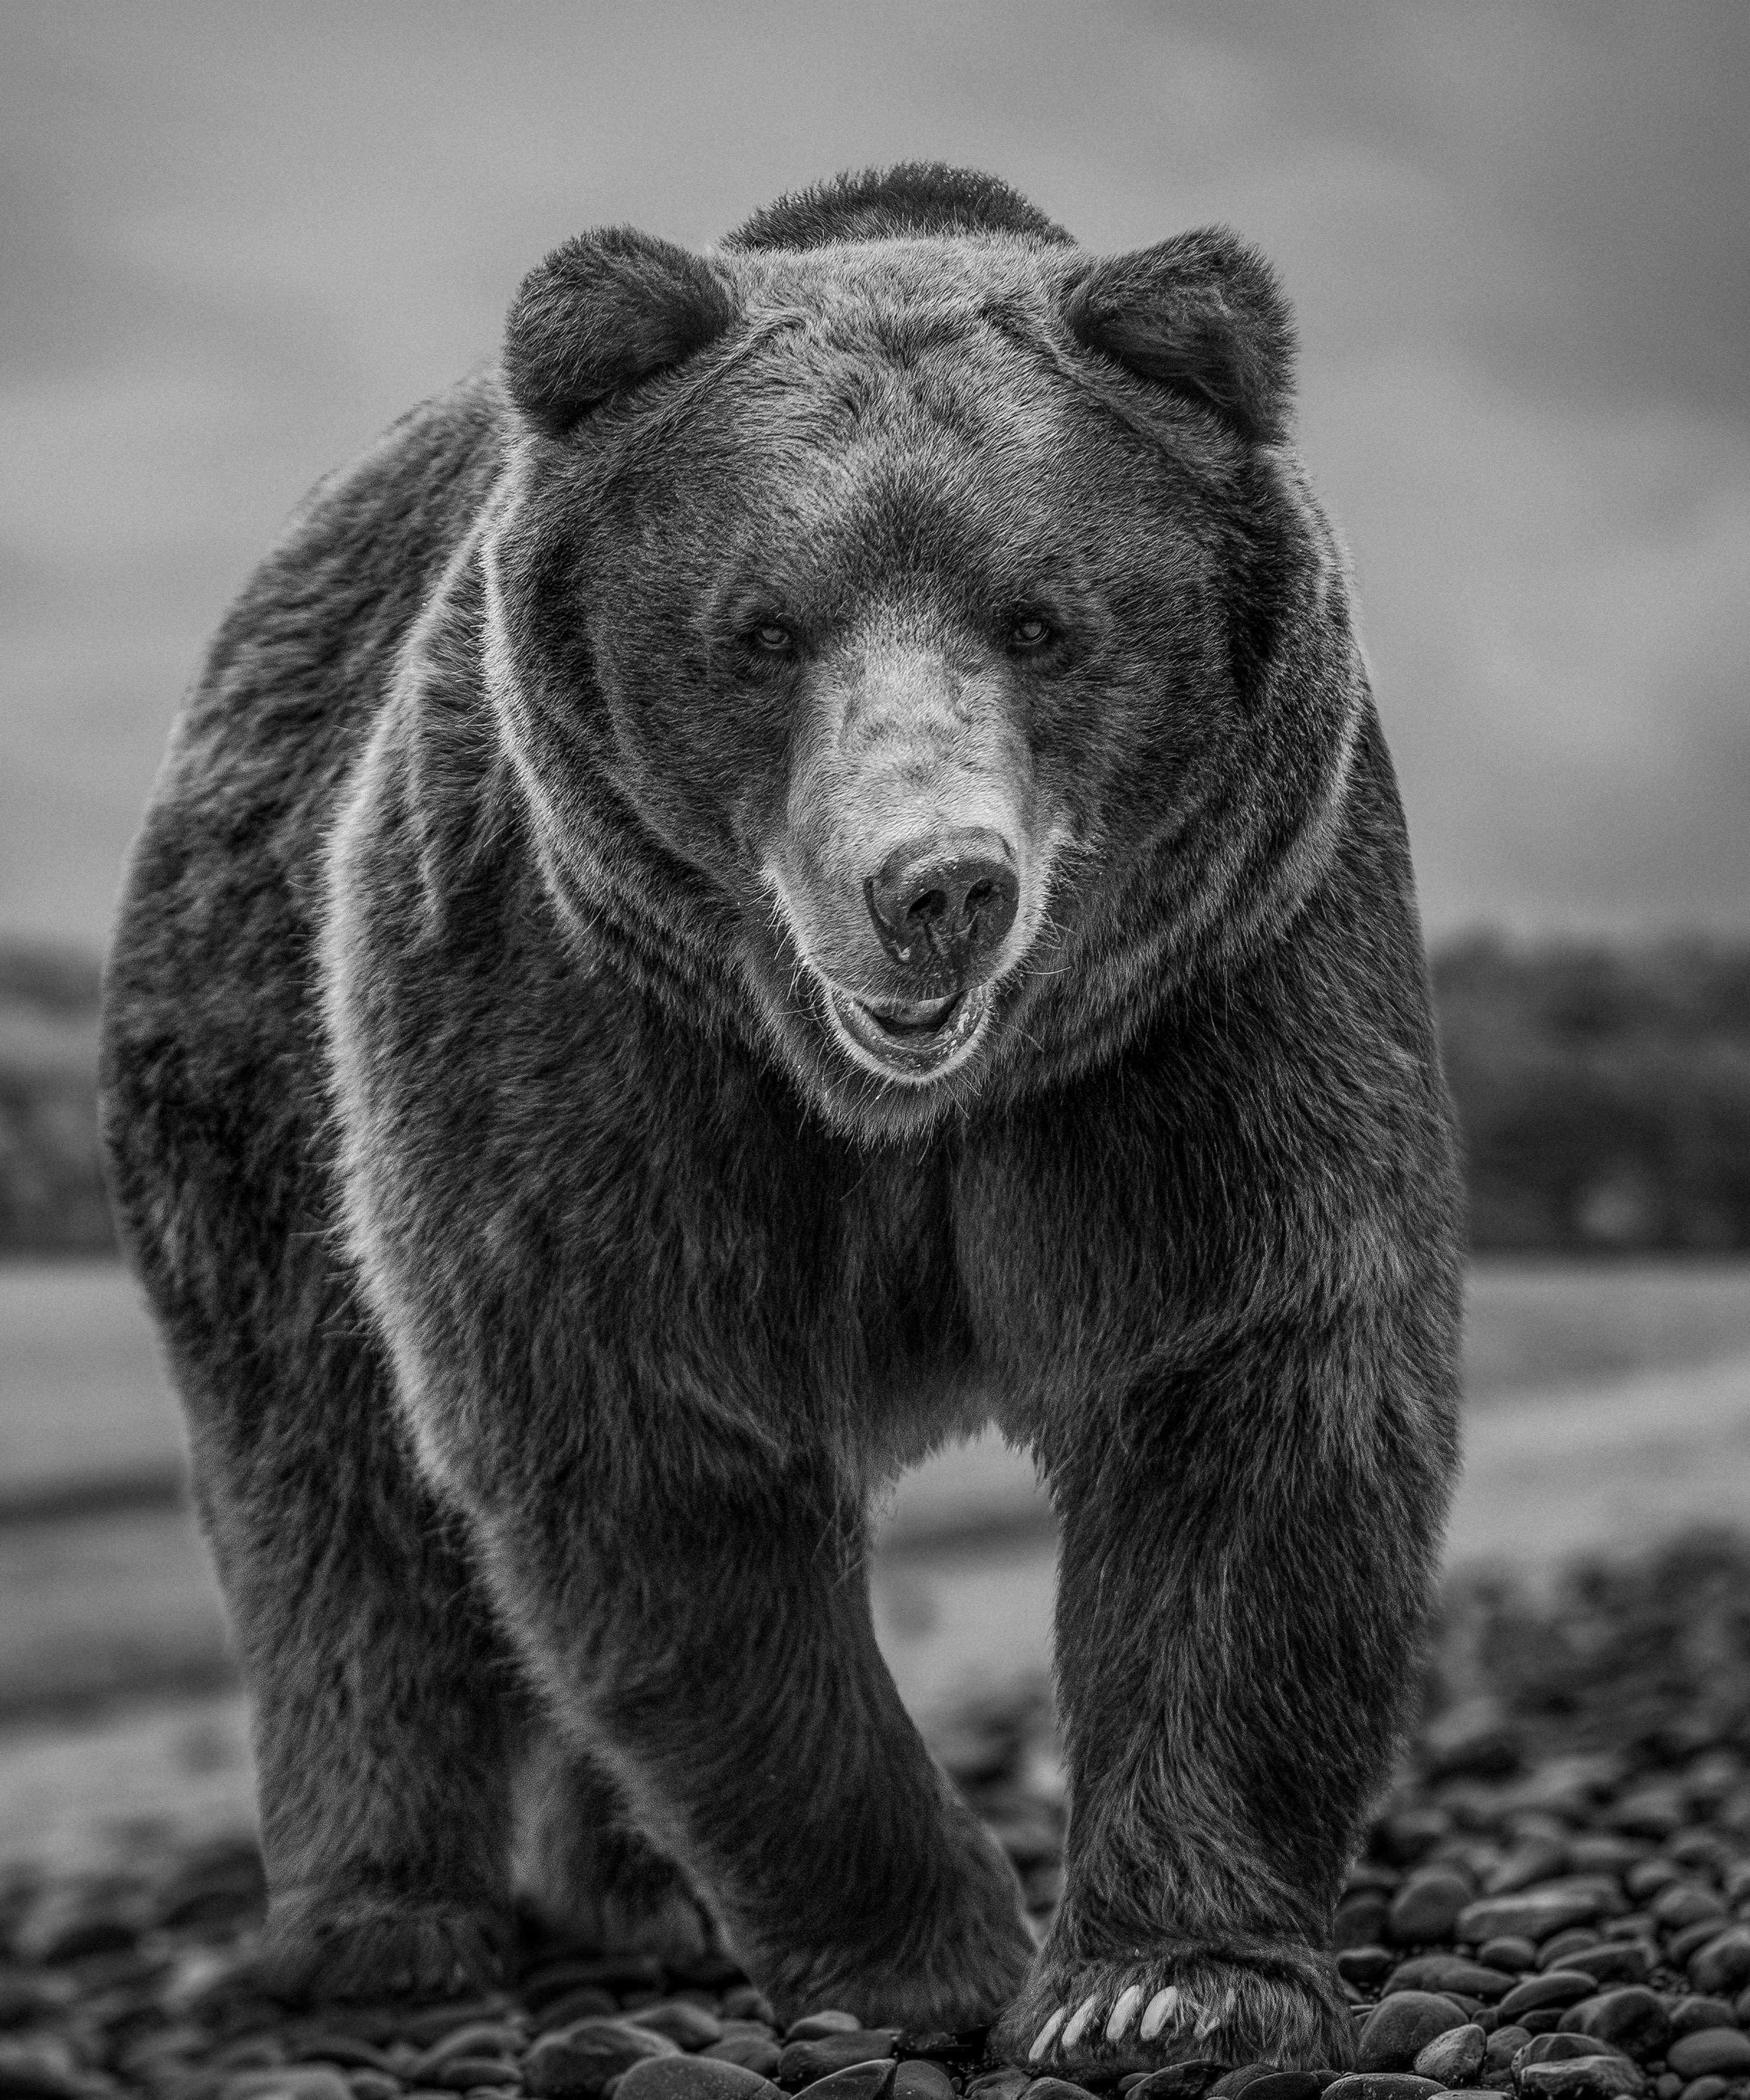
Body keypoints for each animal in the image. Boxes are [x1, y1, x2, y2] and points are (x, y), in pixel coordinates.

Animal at [99, 159, 1462, 2066]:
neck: (895, 1101)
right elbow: (646, 1419)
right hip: (247, 1071)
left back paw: (636, 1895)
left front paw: (1162, 1983)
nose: (935, 886)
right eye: (762, 627)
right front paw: (930, 1941)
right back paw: (383, 1927)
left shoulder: (1211, 984)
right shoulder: (587, 1005)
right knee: (329, 1488)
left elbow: (1238, 1375)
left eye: (1040, 615)